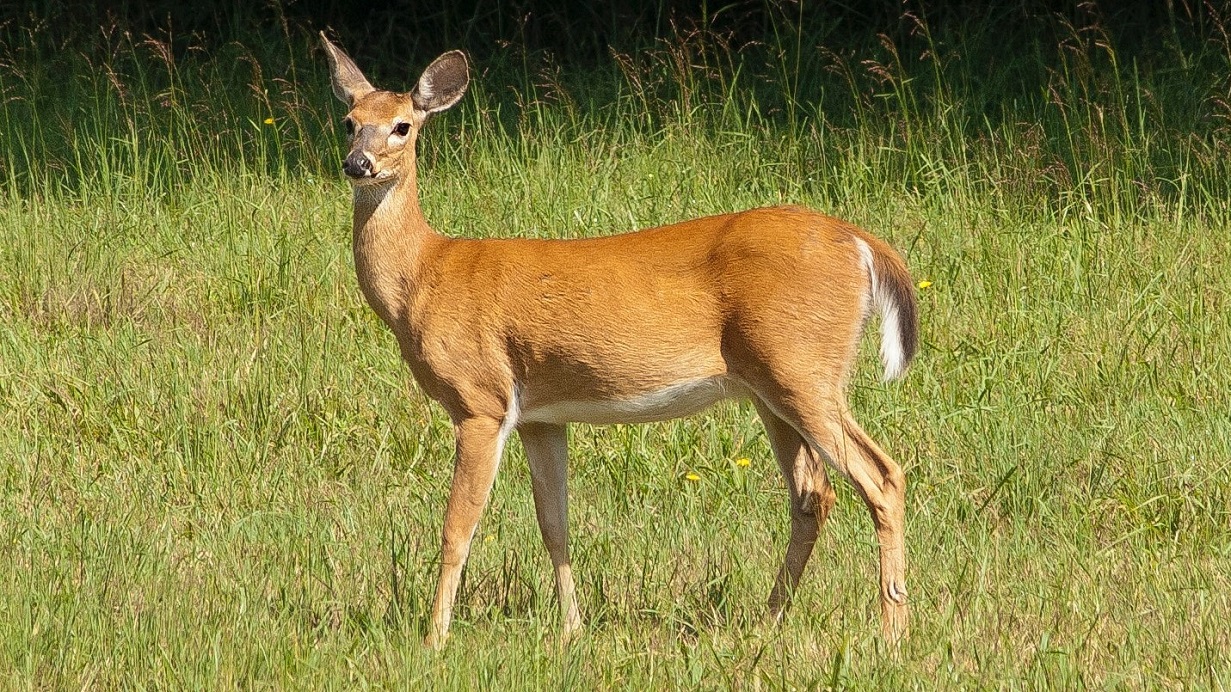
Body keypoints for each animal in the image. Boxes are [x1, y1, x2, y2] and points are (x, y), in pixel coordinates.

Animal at [322, 32, 920, 645]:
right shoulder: (541, 415)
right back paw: (767, 621)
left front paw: (434, 638)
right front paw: (571, 629)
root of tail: (861, 243)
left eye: (402, 125)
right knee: (812, 494)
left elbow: (457, 527)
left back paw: (892, 629)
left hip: (802, 366)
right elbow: (554, 524)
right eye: (349, 121)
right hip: (770, 386)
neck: (425, 276)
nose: (358, 163)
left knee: (882, 476)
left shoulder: (480, 400)